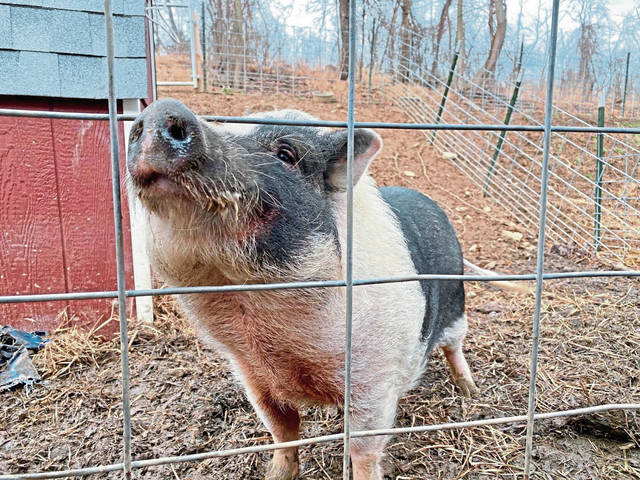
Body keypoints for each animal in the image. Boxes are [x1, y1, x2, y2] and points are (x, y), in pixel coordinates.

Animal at [127, 98, 477, 480]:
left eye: (285, 154)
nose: (162, 109)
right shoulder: (252, 375)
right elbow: (281, 429)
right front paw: (277, 473)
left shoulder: (375, 380)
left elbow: (363, 449)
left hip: (457, 305)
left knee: (455, 346)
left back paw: (470, 391)